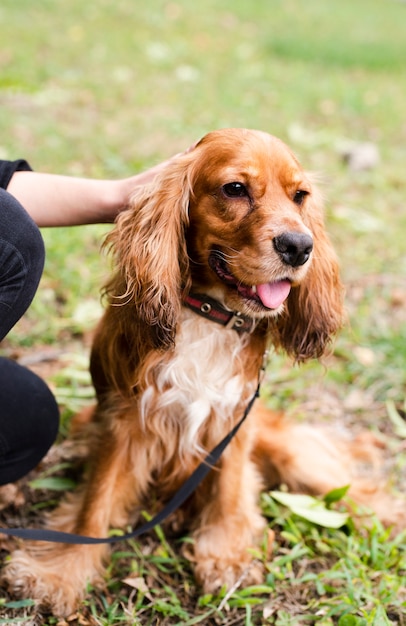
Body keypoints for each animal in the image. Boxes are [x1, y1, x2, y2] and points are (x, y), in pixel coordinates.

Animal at [3, 128, 396, 616]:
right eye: (235, 189)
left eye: (300, 196)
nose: (300, 246)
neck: (212, 315)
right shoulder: (124, 418)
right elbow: (97, 501)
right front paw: (63, 569)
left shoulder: (233, 422)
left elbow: (228, 489)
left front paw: (226, 555)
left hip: (290, 453)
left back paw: (385, 515)